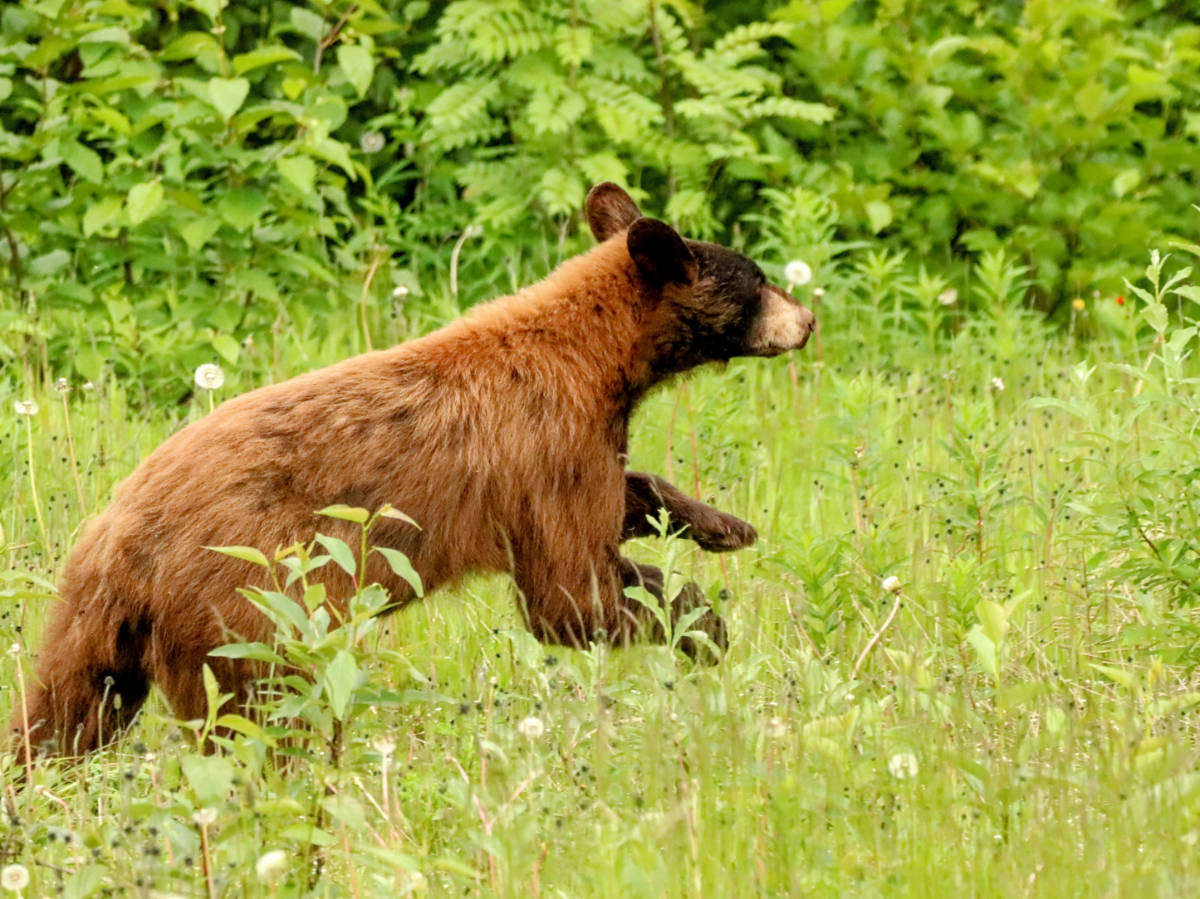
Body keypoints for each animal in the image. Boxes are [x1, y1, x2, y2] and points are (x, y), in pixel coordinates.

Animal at [9, 183, 815, 756]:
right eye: (758, 282)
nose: (807, 322)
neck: (595, 357)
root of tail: (115, 540)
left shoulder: (576, 448)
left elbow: (620, 502)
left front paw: (722, 527)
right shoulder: (547, 444)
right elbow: (568, 594)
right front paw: (702, 624)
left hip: (93, 632)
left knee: (63, 713)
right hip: (243, 609)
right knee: (258, 713)